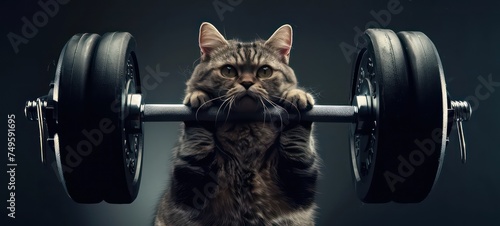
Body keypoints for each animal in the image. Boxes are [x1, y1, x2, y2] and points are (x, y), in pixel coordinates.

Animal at [154, 21, 320, 226]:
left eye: (265, 71)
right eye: (228, 70)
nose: (247, 83)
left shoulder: (297, 178)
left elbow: (296, 140)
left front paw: (297, 96)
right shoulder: (190, 180)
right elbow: (197, 139)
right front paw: (197, 97)